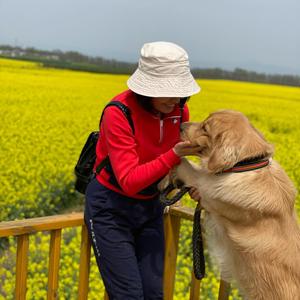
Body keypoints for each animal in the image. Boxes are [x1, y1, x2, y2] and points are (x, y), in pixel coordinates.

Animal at [164, 110, 300, 300]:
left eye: (205, 128)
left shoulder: (208, 189)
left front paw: (175, 163)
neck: (246, 164)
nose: (181, 125)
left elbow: (191, 169)